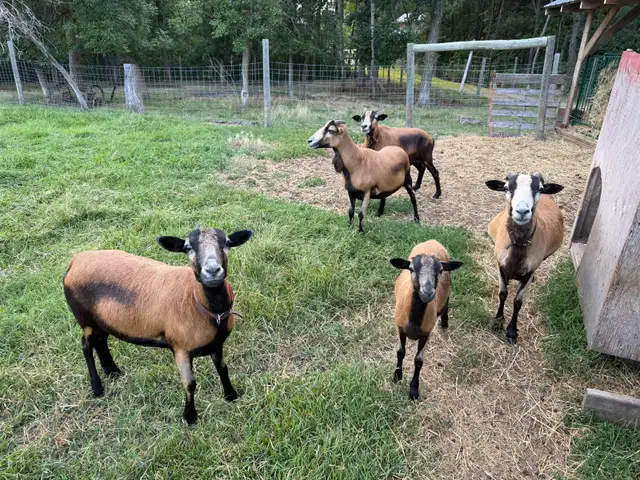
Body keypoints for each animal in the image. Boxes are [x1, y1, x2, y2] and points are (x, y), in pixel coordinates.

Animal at [63, 227, 254, 424]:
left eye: (227, 243)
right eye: (187, 248)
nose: (213, 271)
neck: (197, 301)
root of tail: (75, 261)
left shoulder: (216, 344)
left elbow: (223, 369)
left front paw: (231, 395)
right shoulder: (180, 348)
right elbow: (190, 384)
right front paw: (190, 417)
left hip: (102, 320)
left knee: (101, 340)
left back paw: (112, 371)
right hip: (85, 319)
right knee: (86, 346)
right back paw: (97, 387)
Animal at [389, 240, 463, 399]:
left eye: (440, 270)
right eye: (411, 269)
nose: (428, 292)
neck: (414, 322)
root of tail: (433, 241)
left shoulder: (426, 334)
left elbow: (418, 361)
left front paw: (414, 389)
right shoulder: (400, 329)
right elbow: (400, 352)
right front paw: (397, 376)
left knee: (446, 301)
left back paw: (445, 322)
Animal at [485, 172, 564, 344]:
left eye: (539, 189)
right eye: (506, 188)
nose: (522, 211)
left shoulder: (528, 272)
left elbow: (517, 302)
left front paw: (512, 332)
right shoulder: (500, 267)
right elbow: (503, 294)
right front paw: (498, 321)